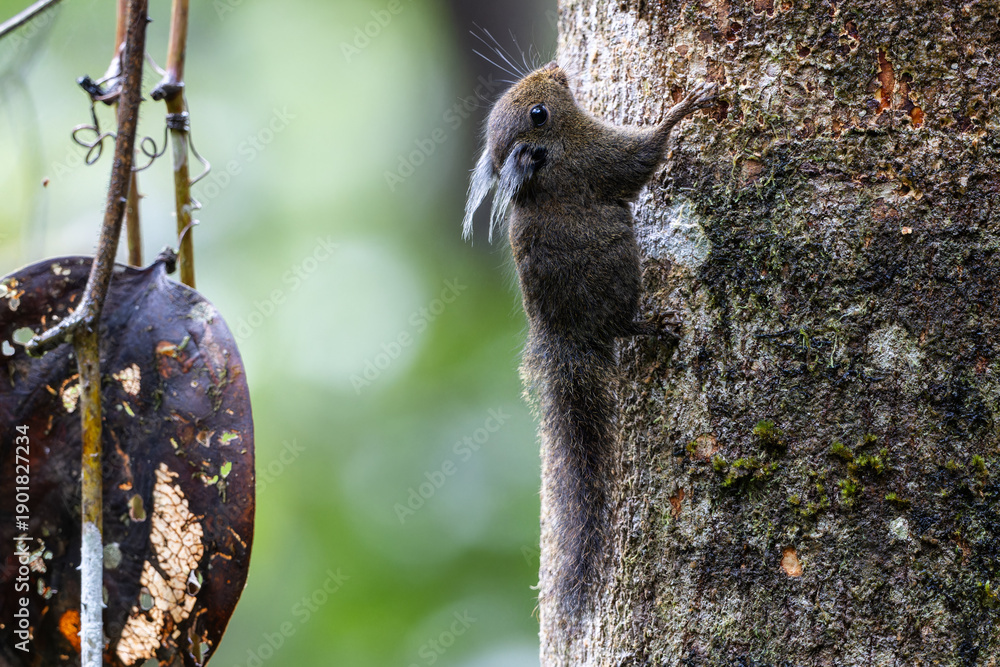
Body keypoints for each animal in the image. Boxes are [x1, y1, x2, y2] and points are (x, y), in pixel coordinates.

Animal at [463, 61, 718, 612]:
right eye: (538, 114)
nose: (555, 68)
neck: (550, 159)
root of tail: (564, 341)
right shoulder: (597, 158)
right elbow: (643, 156)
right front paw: (685, 108)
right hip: (619, 280)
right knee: (623, 325)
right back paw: (656, 327)